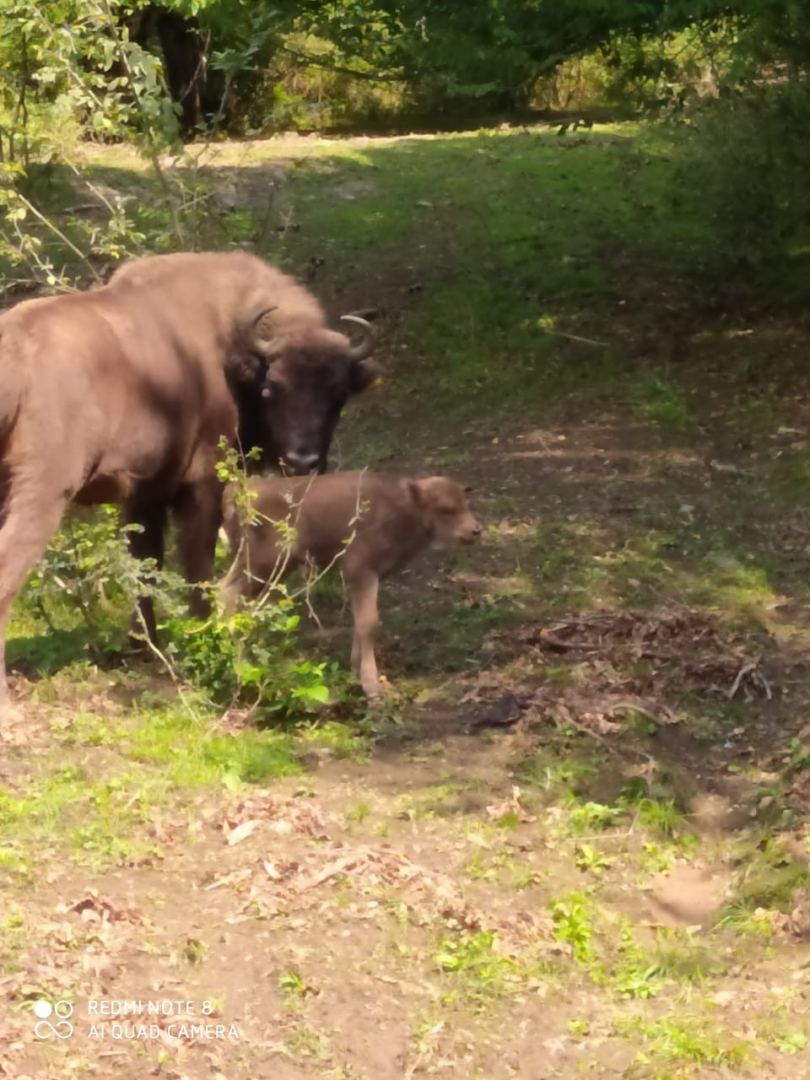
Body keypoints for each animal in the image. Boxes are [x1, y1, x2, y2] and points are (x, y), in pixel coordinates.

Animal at [0, 248, 380, 712]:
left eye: (337, 392)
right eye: (271, 388)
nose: (303, 460)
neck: (227, 344)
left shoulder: (143, 492)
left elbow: (146, 564)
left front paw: (142, 647)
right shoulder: (201, 485)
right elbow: (196, 560)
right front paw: (205, 639)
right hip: (42, 494)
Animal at [220, 475, 481, 699]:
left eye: (465, 502)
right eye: (446, 509)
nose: (476, 530)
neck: (400, 507)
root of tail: (236, 491)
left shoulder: (365, 577)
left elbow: (360, 620)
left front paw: (356, 670)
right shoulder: (361, 571)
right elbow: (369, 622)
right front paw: (372, 687)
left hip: (274, 569)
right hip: (260, 562)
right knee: (226, 591)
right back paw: (240, 665)